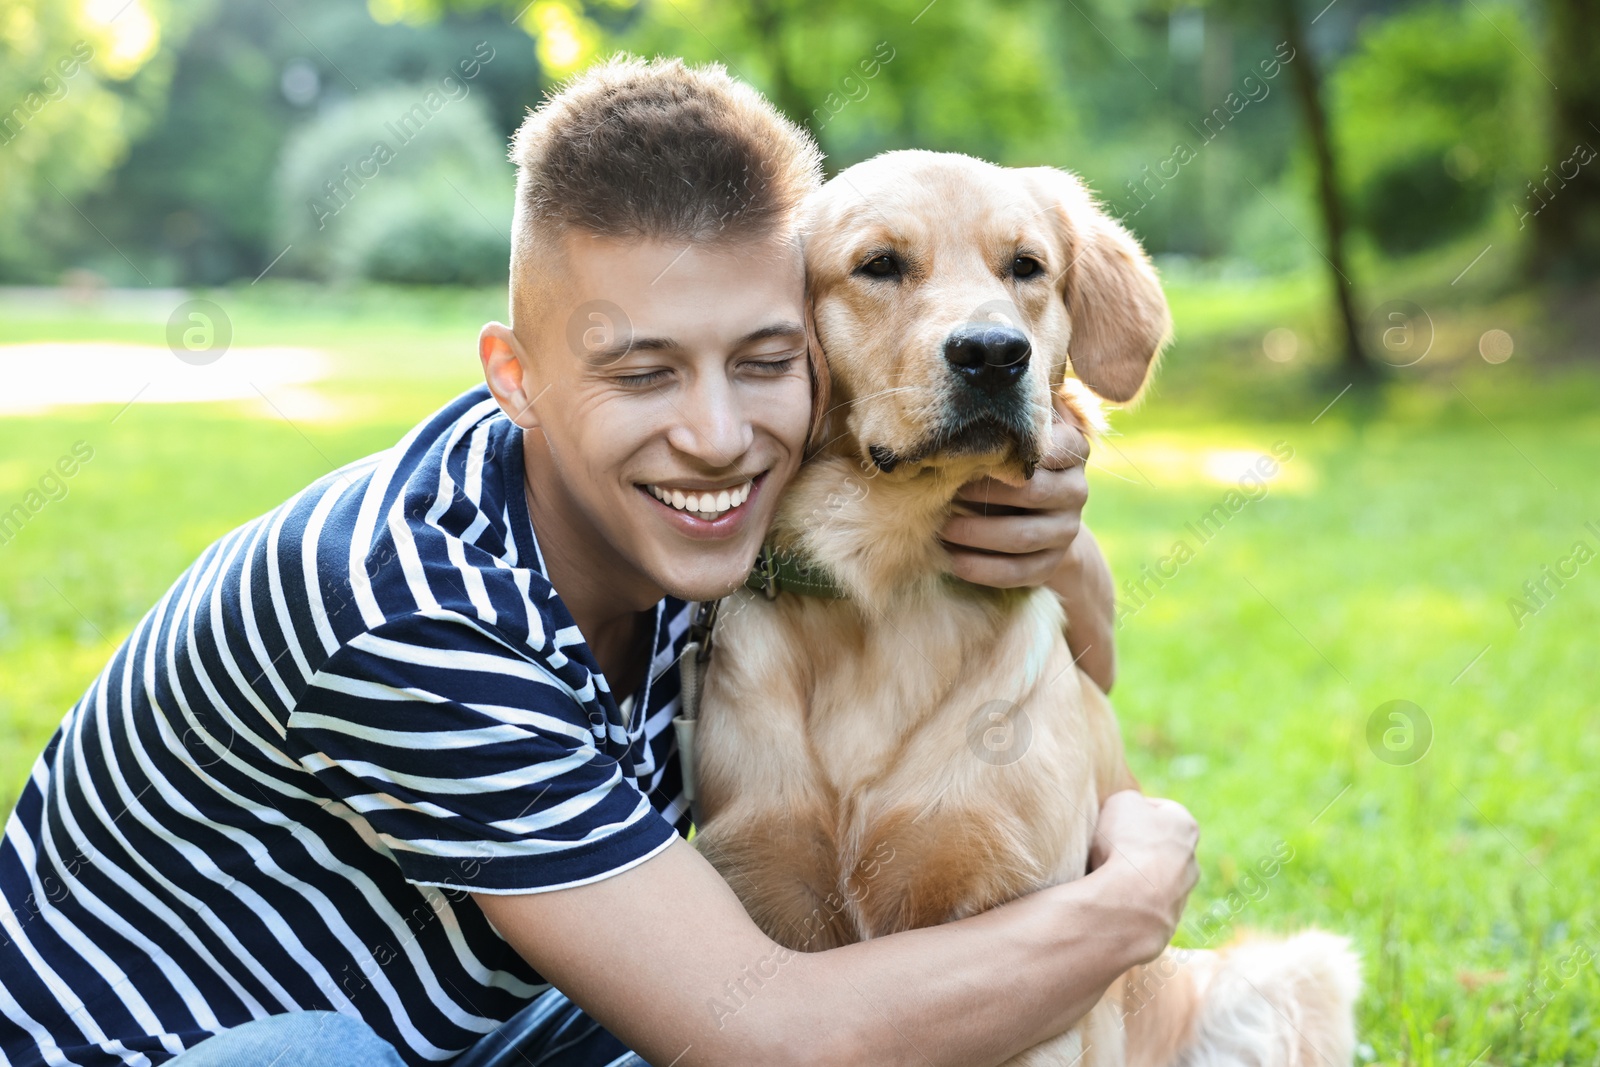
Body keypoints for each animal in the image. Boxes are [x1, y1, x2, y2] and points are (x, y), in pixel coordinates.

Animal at [694, 151, 1356, 1067]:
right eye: (879, 265)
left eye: (1027, 267)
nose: (993, 353)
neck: (887, 585)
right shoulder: (768, 900)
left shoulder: (1036, 937)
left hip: (1284, 975)